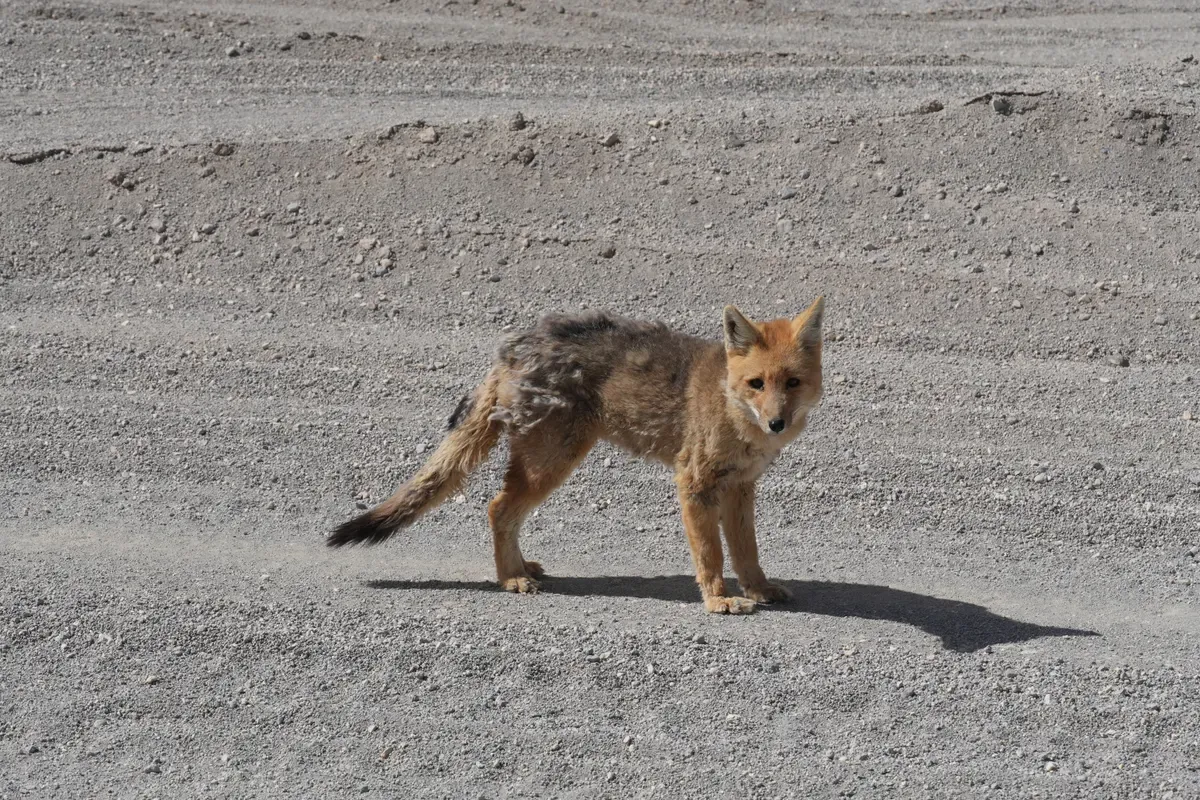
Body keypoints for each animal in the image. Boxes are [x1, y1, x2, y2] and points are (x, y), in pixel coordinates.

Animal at [327, 297, 825, 614]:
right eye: (757, 384)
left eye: (792, 383)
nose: (777, 423)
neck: (731, 407)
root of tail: (517, 344)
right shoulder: (695, 483)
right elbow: (710, 554)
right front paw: (718, 599)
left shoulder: (741, 486)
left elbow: (746, 550)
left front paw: (758, 589)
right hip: (554, 462)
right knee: (498, 508)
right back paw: (510, 578)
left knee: (503, 511)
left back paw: (519, 567)